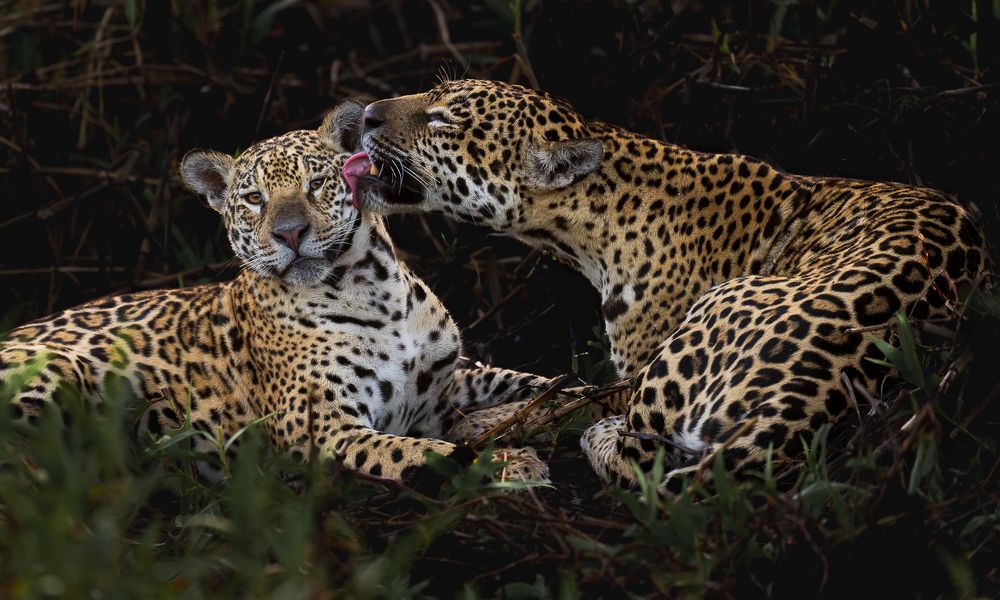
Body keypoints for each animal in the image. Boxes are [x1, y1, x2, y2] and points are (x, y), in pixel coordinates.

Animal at [0, 98, 556, 486]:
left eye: (316, 183)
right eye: (253, 199)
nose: (290, 232)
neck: (374, 294)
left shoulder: (446, 383)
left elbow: (524, 382)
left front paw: (565, 401)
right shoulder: (323, 429)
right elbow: (422, 452)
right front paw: (509, 463)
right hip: (55, 371)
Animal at [345, 78, 993, 491]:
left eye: (444, 119)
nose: (368, 113)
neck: (591, 223)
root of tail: (813, 394)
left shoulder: (634, 369)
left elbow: (572, 397)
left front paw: (482, 421)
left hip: (705, 327)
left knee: (633, 448)